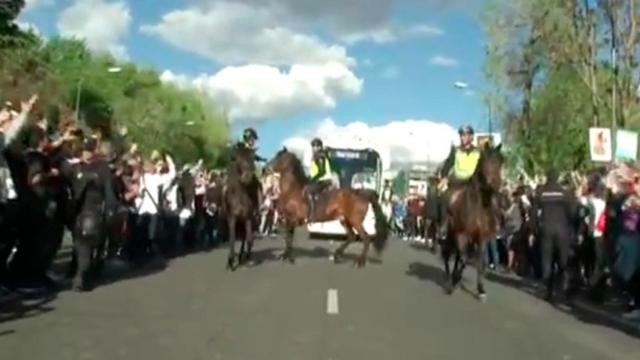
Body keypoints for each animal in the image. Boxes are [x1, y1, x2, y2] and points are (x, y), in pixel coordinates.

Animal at [442, 143, 502, 300]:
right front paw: (453, 281)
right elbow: (464, 260)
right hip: (450, 235)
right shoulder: (462, 235)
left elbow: (479, 262)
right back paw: (448, 279)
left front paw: (481, 289)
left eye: (500, 161)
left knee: (457, 256)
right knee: (447, 254)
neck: (478, 206)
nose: (495, 183)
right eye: (485, 160)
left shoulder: (481, 239)